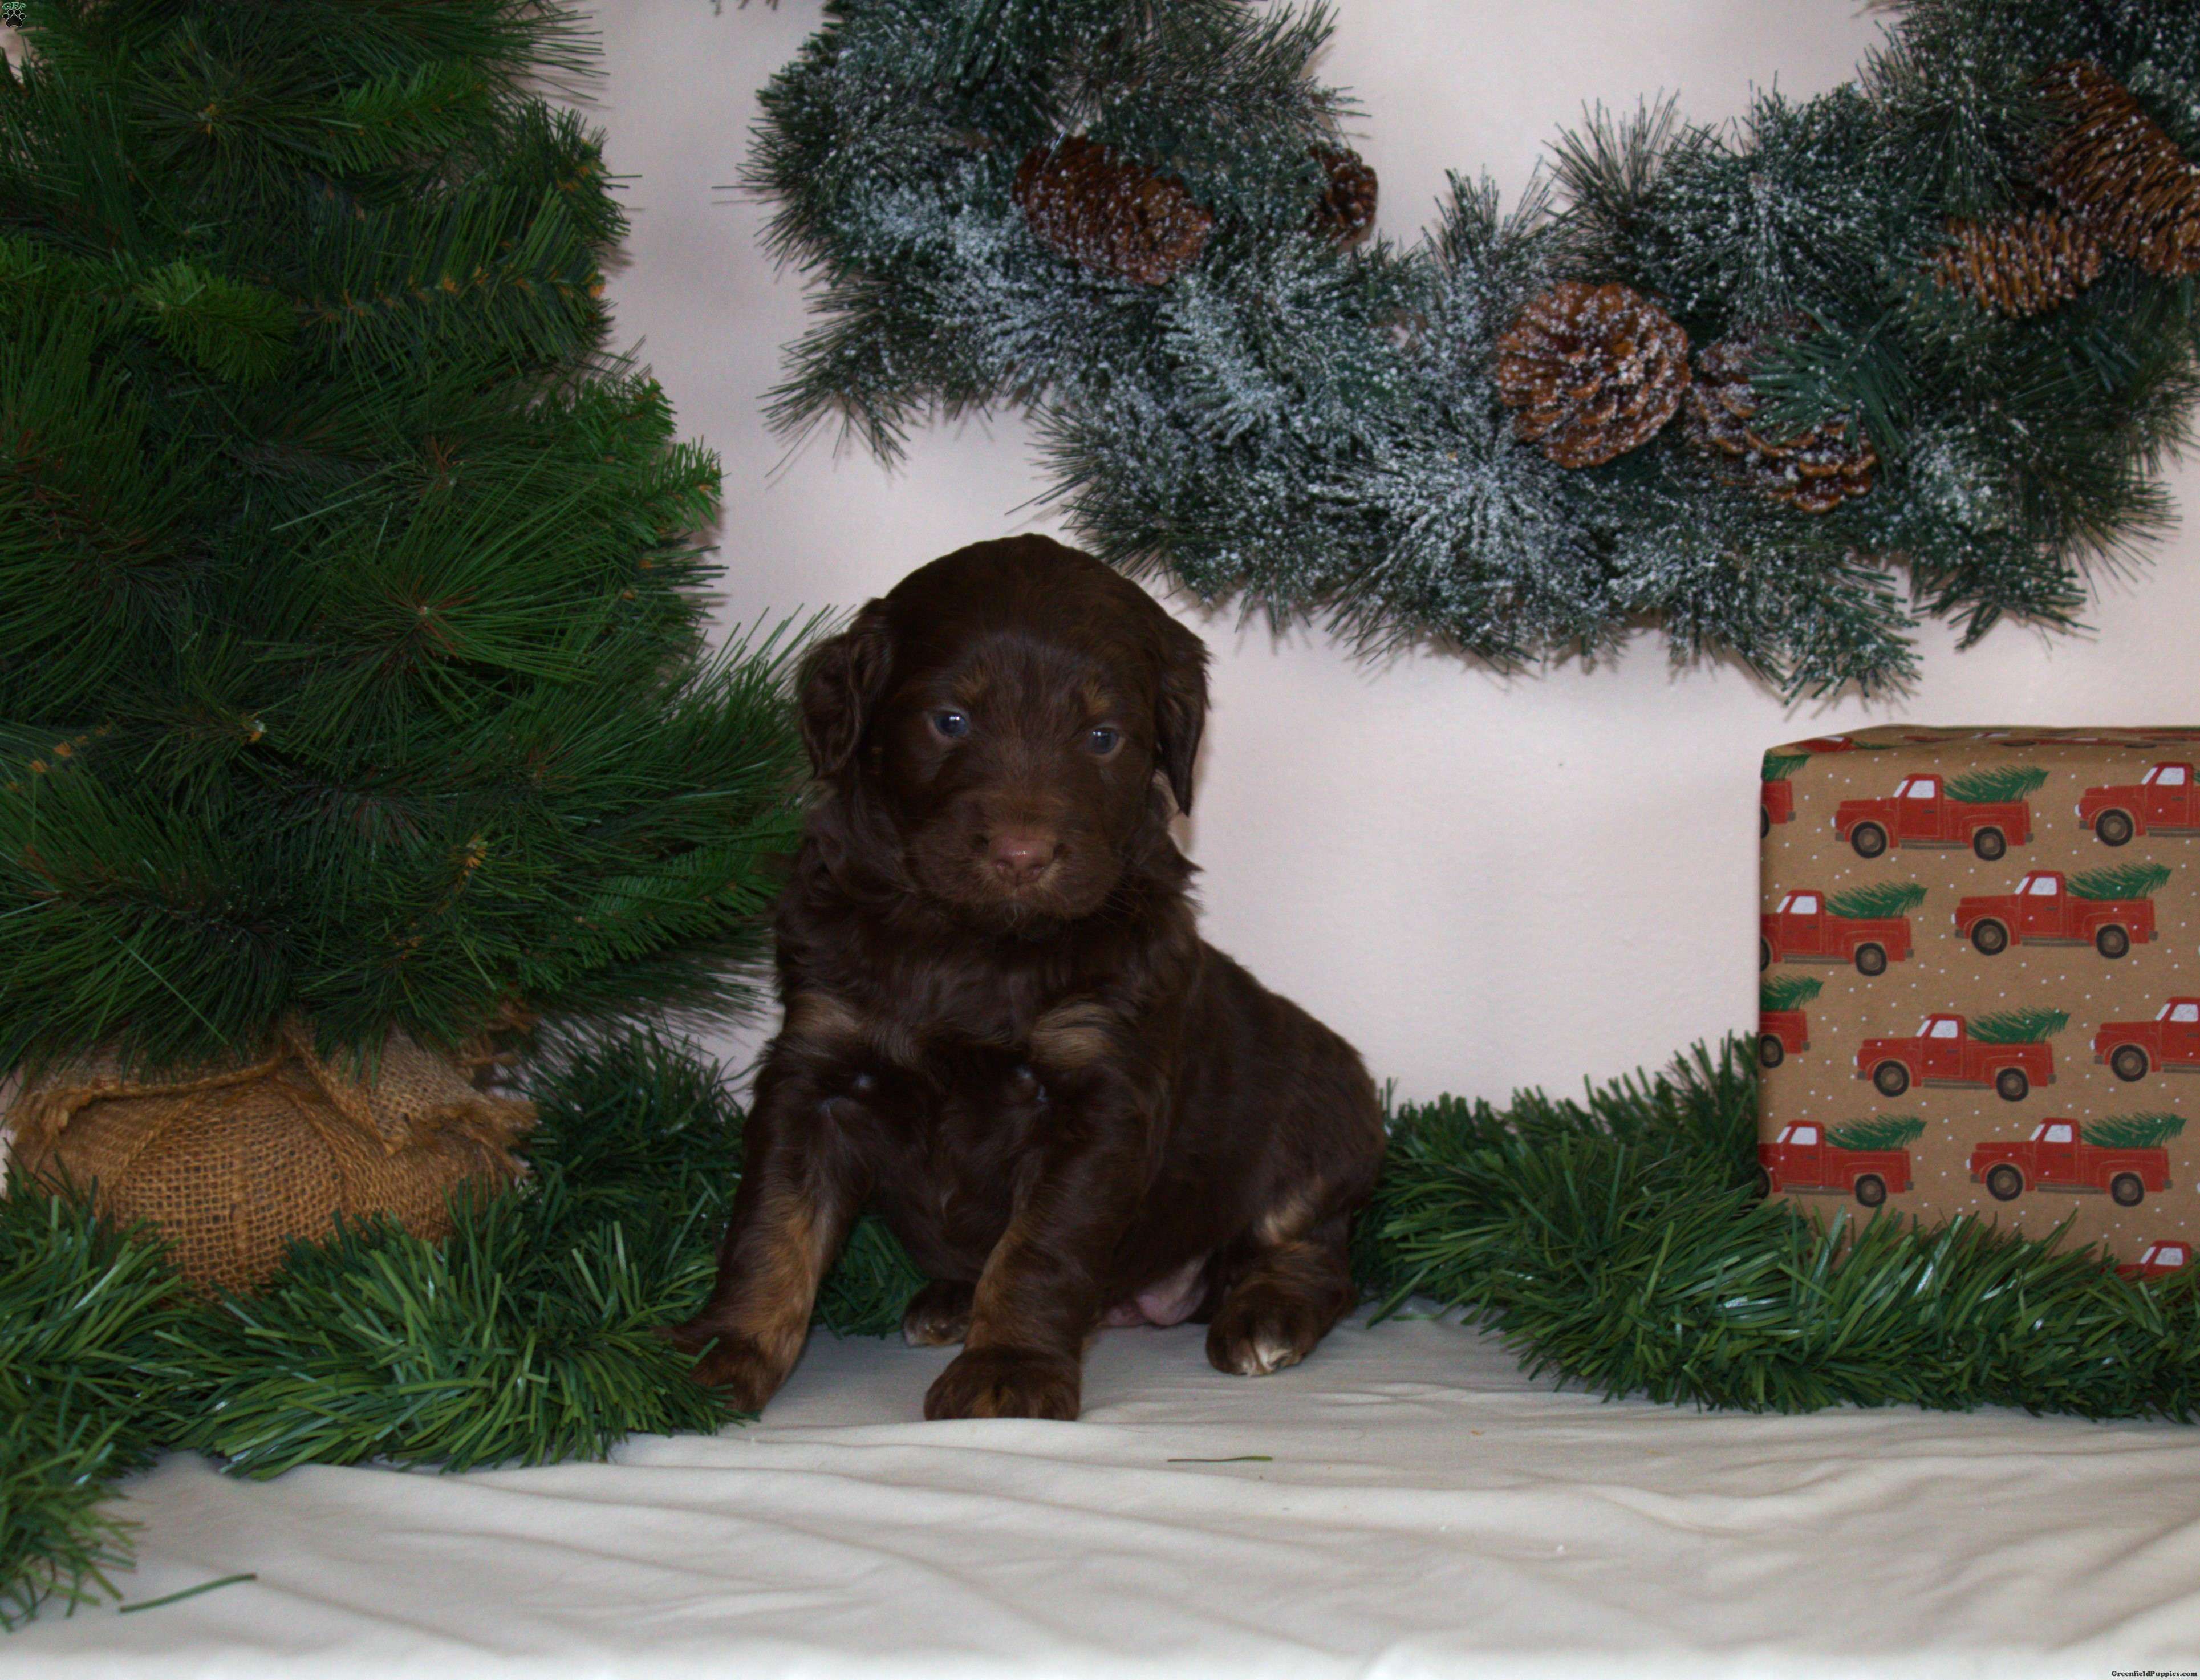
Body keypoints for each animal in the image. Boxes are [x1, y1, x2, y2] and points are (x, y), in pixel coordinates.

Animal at [671, 534, 1385, 1421]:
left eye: (1104, 737)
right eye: (950, 721)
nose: (1021, 856)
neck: (970, 942)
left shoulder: (1094, 1093)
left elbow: (1040, 1244)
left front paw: (1006, 1368)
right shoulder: (817, 1067)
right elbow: (771, 1227)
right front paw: (720, 1353)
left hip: (1318, 1119)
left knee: (1312, 1250)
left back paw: (1267, 1319)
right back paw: (948, 1299)